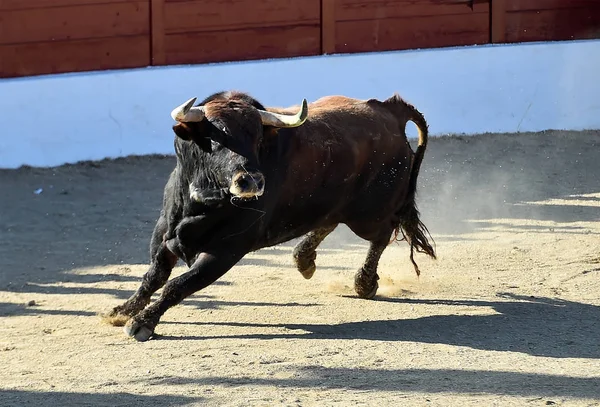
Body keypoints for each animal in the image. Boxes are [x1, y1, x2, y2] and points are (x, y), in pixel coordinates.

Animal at [103, 90, 436, 342]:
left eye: (256, 138)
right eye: (216, 138)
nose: (251, 181)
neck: (204, 199)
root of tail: (388, 111)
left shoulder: (226, 251)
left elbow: (179, 284)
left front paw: (142, 323)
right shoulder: (165, 235)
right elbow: (153, 276)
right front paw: (121, 311)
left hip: (370, 213)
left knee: (381, 234)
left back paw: (364, 283)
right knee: (328, 221)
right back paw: (304, 260)